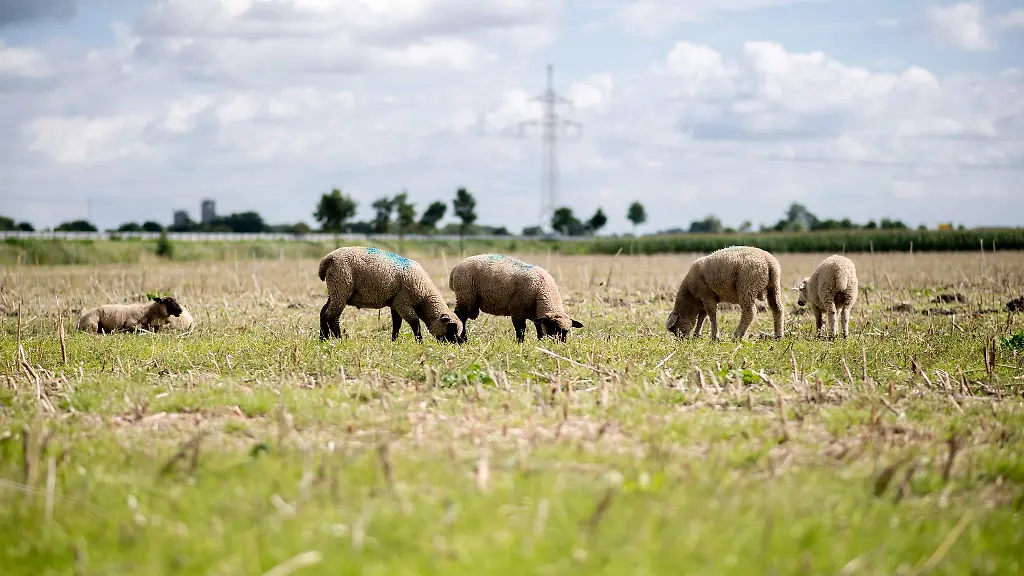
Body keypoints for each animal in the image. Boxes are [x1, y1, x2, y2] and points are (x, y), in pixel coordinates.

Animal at [318, 246, 462, 343]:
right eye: (452, 329)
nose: (456, 344)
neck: (424, 297)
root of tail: (328, 259)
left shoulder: (395, 303)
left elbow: (397, 323)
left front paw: (394, 341)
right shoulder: (403, 301)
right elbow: (414, 322)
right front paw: (420, 342)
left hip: (335, 290)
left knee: (323, 312)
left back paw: (323, 339)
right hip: (340, 287)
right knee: (332, 315)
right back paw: (339, 339)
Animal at [448, 253, 583, 343]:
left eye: (566, 331)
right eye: (554, 328)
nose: (560, 345)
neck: (542, 291)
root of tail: (455, 268)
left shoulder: (536, 316)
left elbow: (539, 329)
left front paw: (540, 342)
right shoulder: (517, 309)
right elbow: (520, 329)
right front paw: (520, 343)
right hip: (465, 295)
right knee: (460, 316)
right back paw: (461, 340)